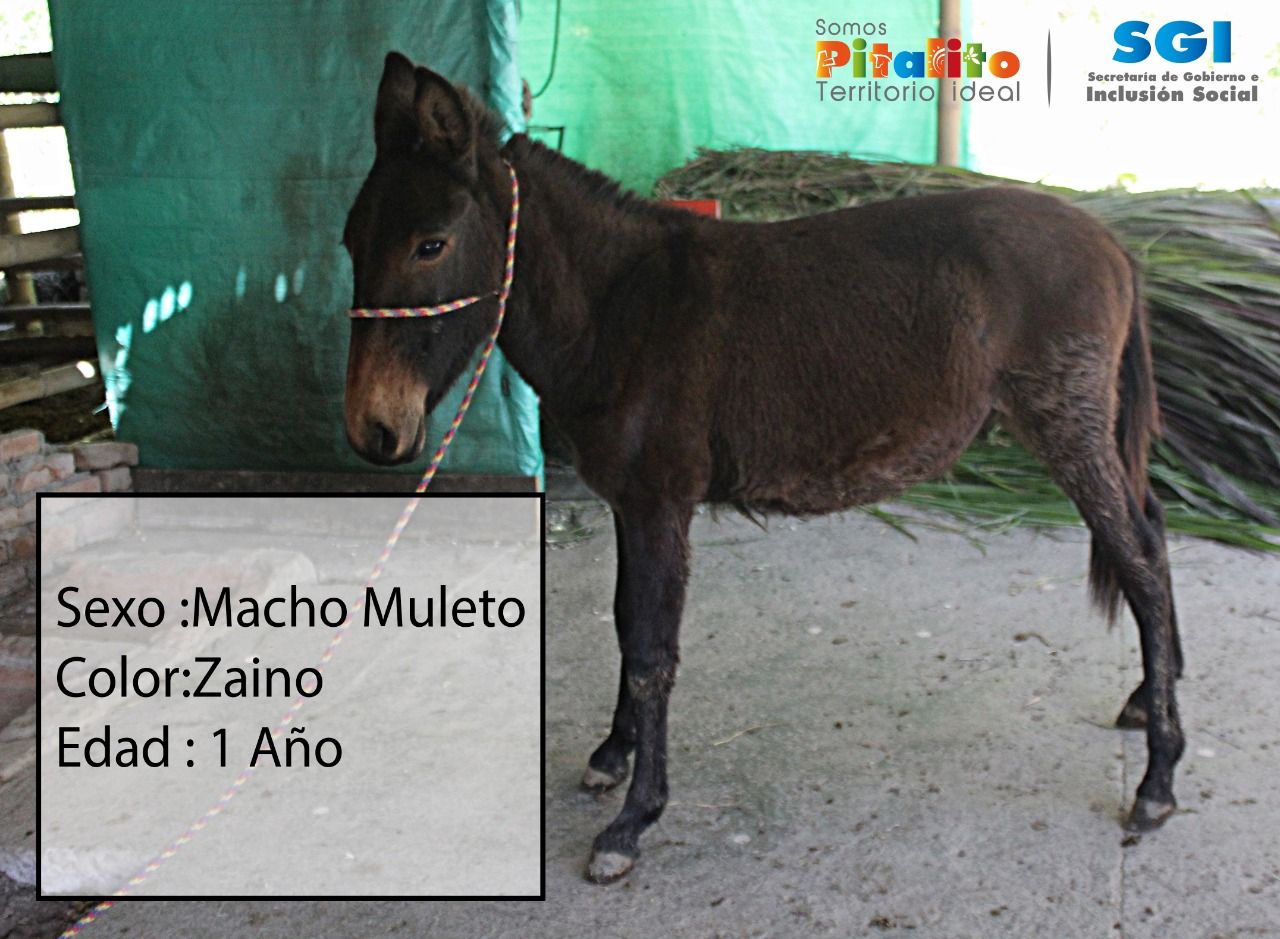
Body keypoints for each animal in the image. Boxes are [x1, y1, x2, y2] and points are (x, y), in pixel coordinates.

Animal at [341, 52, 1184, 884]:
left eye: (430, 244)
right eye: (351, 241)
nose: (371, 430)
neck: (621, 309)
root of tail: (1111, 244)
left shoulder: (660, 504)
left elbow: (652, 654)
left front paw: (633, 821)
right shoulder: (626, 501)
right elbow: (624, 623)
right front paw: (613, 754)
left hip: (1065, 424)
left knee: (1139, 557)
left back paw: (1158, 778)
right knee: (1149, 531)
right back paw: (1153, 697)